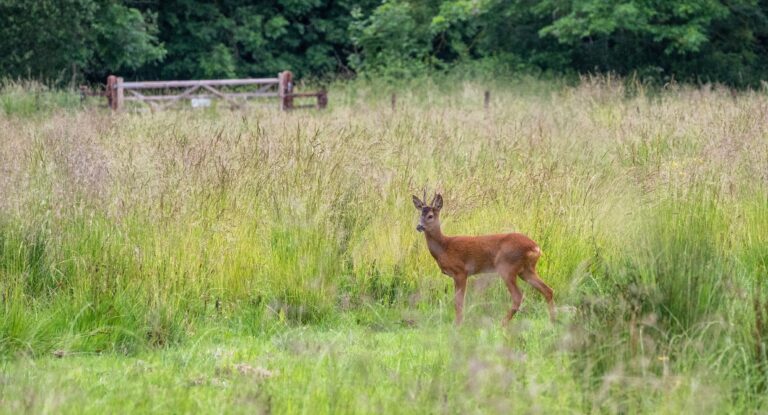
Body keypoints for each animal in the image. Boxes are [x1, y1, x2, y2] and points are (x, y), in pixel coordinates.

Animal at [412, 193, 555, 325]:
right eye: (420, 214)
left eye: (430, 216)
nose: (419, 226)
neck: (445, 247)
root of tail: (536, 247)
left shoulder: (461, 272)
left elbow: (459, 302)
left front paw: (458, 324)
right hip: (526, 270)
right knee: (548, 290)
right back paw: (553, 321)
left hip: (507, 267)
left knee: (518, 296)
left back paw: (502, 323)